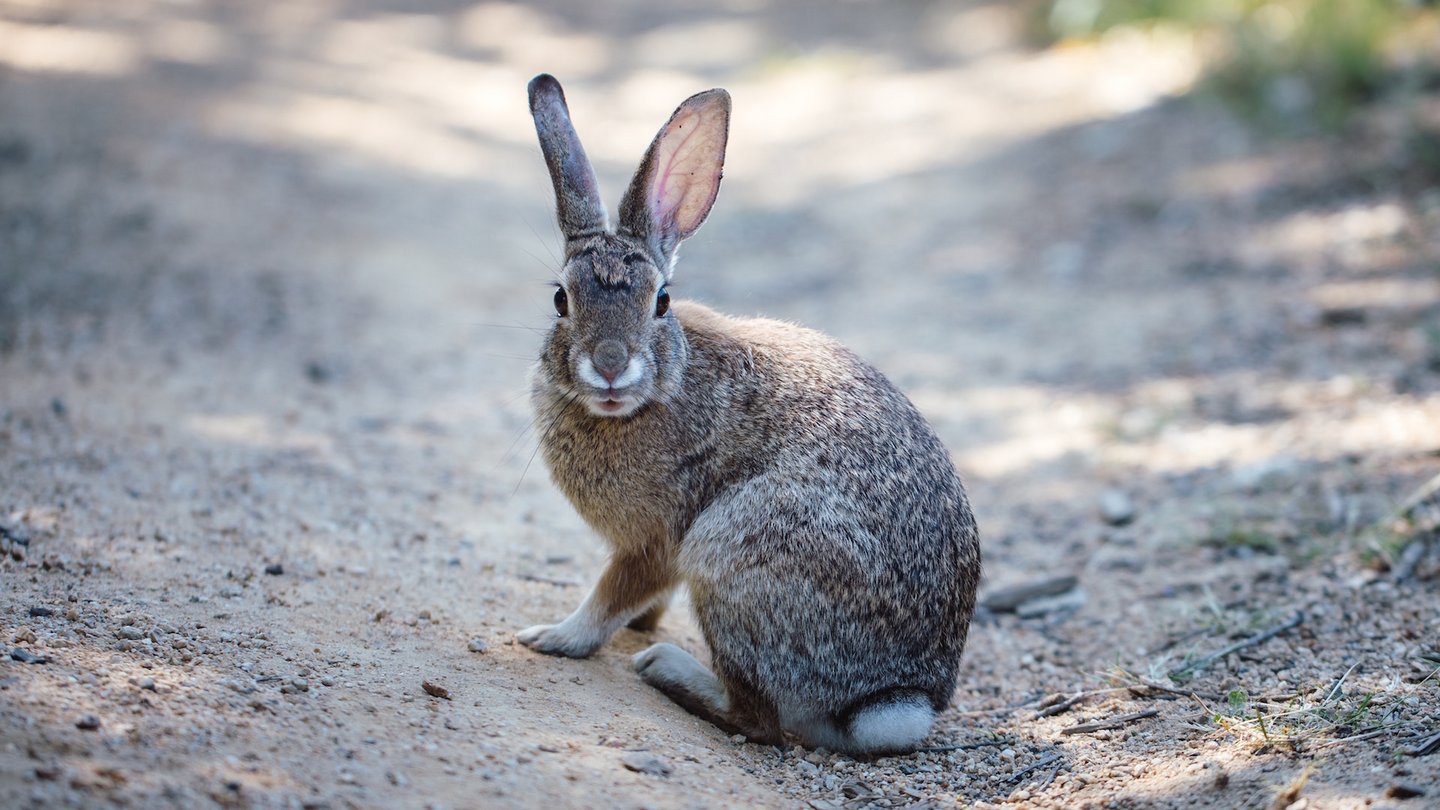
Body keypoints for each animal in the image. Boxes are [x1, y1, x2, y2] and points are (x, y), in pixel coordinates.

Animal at [518, 72, 979, 755]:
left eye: (662, 301)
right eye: (560, 300)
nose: (609, 367)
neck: (661, 388)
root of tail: (894, 698)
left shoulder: (660, 539)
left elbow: (612, 594)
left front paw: (553, 637)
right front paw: (642, 623)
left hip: (731, 553)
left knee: (758, 720)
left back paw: (668, 669)